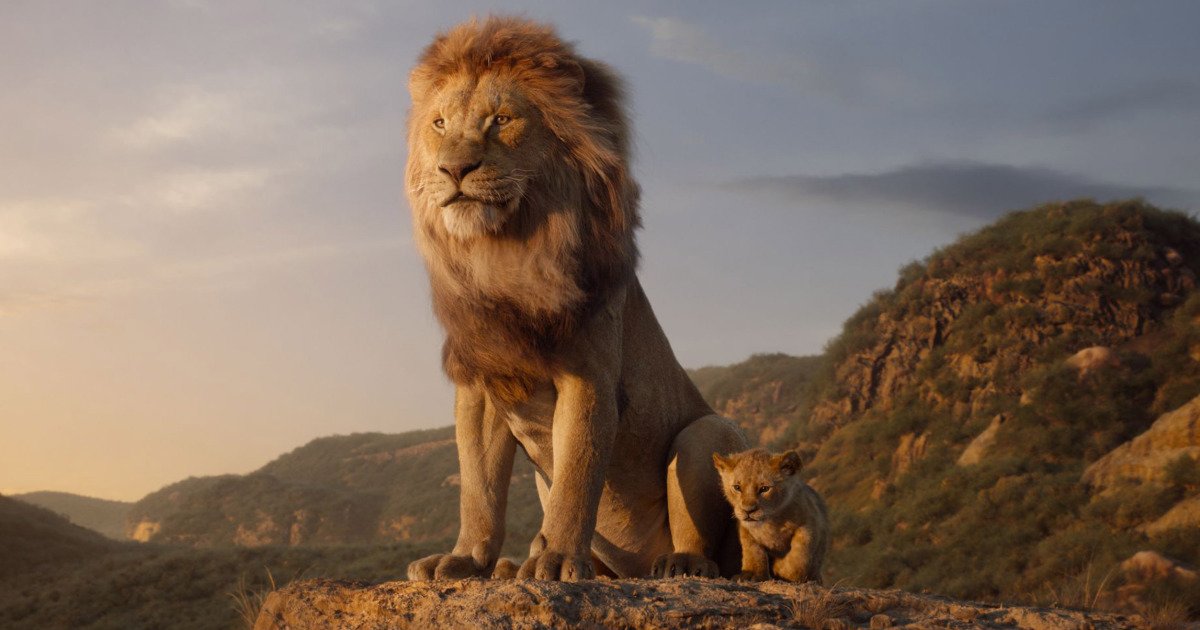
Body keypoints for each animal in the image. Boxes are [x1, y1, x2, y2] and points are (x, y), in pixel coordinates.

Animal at [403, 16, 748, 581]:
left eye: (501, 120)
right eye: (439, 124)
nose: (454, 170)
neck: (505, 255)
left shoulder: (588, 376)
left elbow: (577, 477)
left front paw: (559, 559)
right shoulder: (482, 383)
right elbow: (479, 489)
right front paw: (465, 559)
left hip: (708, 433)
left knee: (706, 542)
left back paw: (679, 564)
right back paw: (513, 565)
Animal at [712, 448, 830, 583]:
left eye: (764, 489)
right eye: (737, 487)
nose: (748, 511)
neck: (770, 521)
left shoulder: (810, 524)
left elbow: (799, 555)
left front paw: (781, 569)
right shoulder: (746, 530)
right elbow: (753, 551)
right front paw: (752, 574)